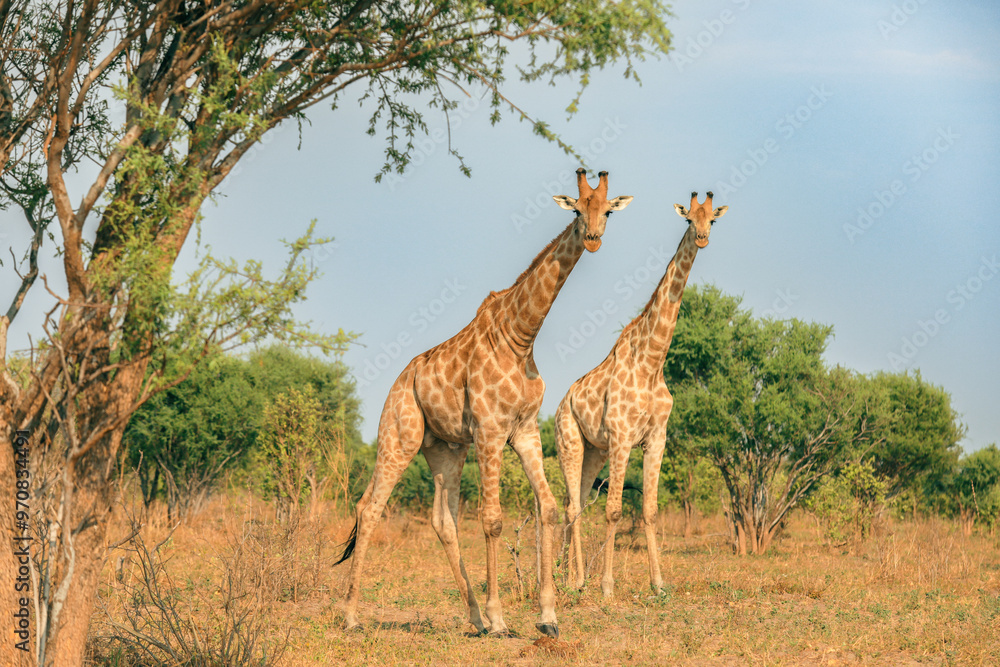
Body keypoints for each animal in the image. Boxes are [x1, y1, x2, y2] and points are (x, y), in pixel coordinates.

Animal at [335, 168, 633, 637]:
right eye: (575, 209)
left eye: (607, 211)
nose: (593, 238)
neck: (520, 336)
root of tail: (400, 381)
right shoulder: (490, 430)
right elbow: (492, 519)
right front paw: (499, 619)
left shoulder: (523, 430)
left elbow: (548, 509)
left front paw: (547, 617)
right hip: (399, 435)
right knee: (369, 508)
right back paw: (350, 616)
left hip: (446, 448)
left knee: (444, 522)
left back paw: (473, 617)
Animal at [554, 191, 728, 598]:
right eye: (688, 219)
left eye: (712, 219)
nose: (701, 238)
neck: (652, 362)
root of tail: (560, 404)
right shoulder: (621, 437)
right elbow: (615, 509)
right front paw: (608, 587)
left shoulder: (656, 438)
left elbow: (649, 510)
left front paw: (659, 583)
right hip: (569, 441)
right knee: (571, 506)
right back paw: (573, 580)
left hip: (594, 451)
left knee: (578, 502)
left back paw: (573, 578)